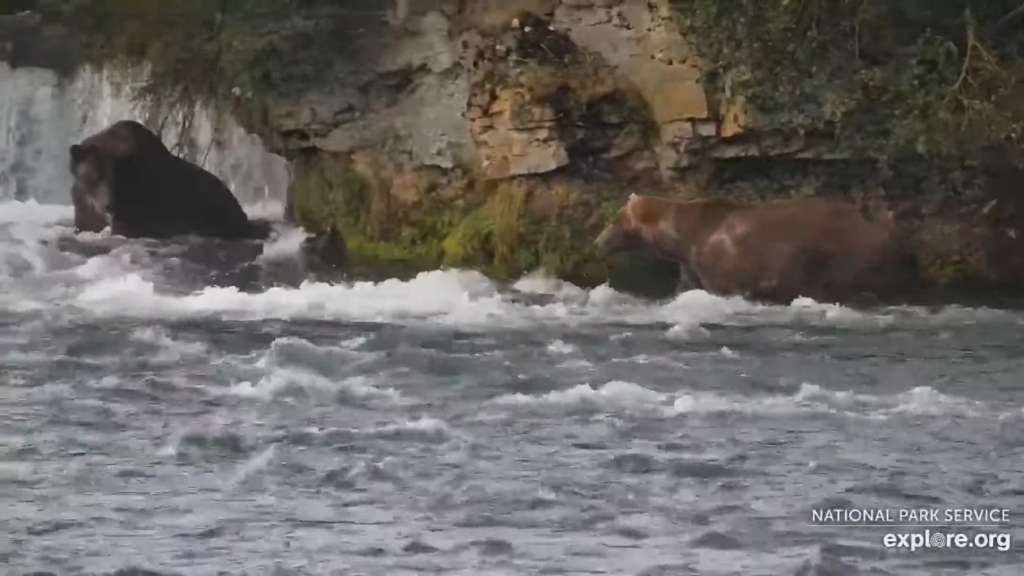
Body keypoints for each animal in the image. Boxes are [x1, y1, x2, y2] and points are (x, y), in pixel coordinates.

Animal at [593, 191, 905, 303]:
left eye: (615, 219)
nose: (597, 241)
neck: (682, 239)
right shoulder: (691, 265)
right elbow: (687, 286)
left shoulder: (721, 260)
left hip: (831, 251)